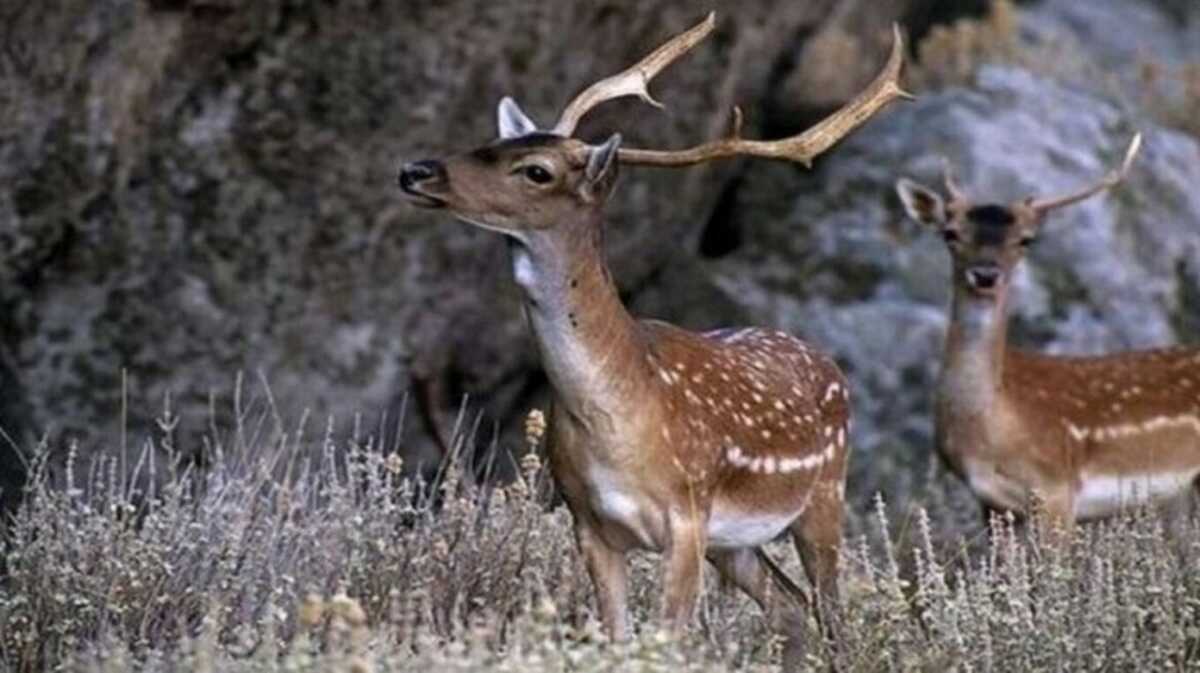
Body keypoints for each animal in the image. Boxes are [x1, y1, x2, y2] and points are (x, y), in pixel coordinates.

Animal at [396, 14, 907, 667]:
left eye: (536, 170)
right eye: (496, 141)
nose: (416, 171)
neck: (615, 419)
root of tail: (826, 362)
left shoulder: (685, 515)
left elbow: (668, 640)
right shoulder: (589, 522)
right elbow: (616, 638)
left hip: (823, 496)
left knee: (832, 616)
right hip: (734, 541)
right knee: (790, 608)